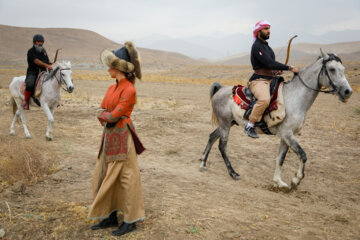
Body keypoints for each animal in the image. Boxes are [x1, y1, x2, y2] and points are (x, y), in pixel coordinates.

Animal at [201, 49, 352, 189]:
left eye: (343, 69)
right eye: (332, 69)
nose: (347, 91)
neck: (294, 97)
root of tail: (220, 88)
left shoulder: (285, 137)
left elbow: (281, 158)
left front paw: (278, 182)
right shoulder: (287, 134)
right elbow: (303, 155)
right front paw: (296, 180)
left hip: (228, 123)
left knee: (212, 136)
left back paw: (203, 163)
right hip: (225, 124)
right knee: (222, 146)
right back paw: (233, 173)